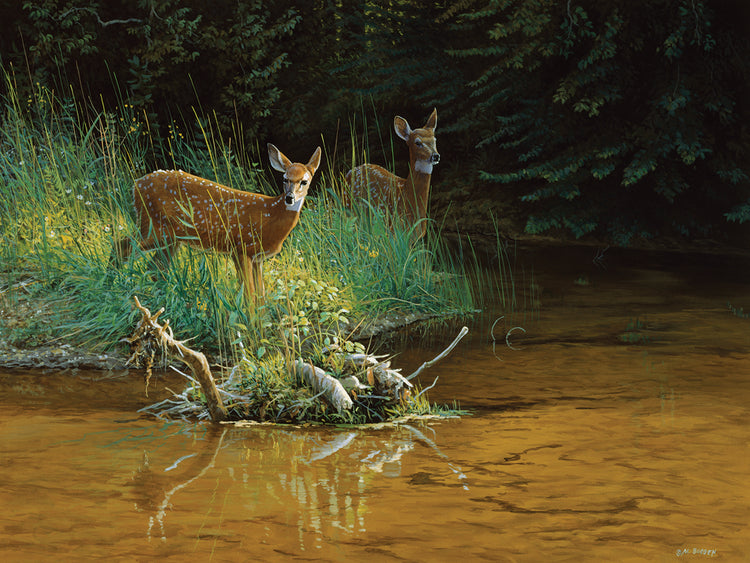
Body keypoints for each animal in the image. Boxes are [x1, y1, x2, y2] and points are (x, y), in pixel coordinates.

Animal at [113, 143, 322, 301]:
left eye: (304, 181)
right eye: (285, 179)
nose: (289, 198)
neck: (270, 216)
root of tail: (136, 185)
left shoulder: (258, 258)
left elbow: (260, 294)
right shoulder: (241, 248)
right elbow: (249, 294)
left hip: (170, 238)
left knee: (155, 268)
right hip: (153, 226)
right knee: (121, 245)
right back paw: (112, 283)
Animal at [343, 108, 439, 239]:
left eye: (434, 140)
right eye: (417, 142)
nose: (435, 156)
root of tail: (349, 172)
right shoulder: (392, 230)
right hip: (349, 208)